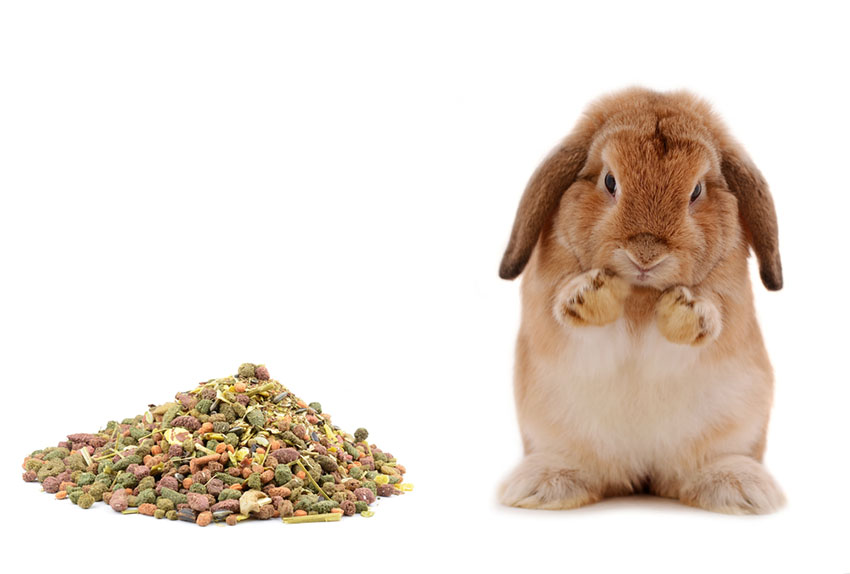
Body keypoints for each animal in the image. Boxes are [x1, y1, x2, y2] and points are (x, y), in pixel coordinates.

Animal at [496, 88, 780, 516]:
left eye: (696, 191)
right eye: (610, 181)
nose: (646, 255)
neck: (643, 295)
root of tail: (642, 476)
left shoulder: (729, 304)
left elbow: (711, 316)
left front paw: (686, 310)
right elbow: (570, 312)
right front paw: (592, 292)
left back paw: (739, 488)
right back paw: (544, 484)